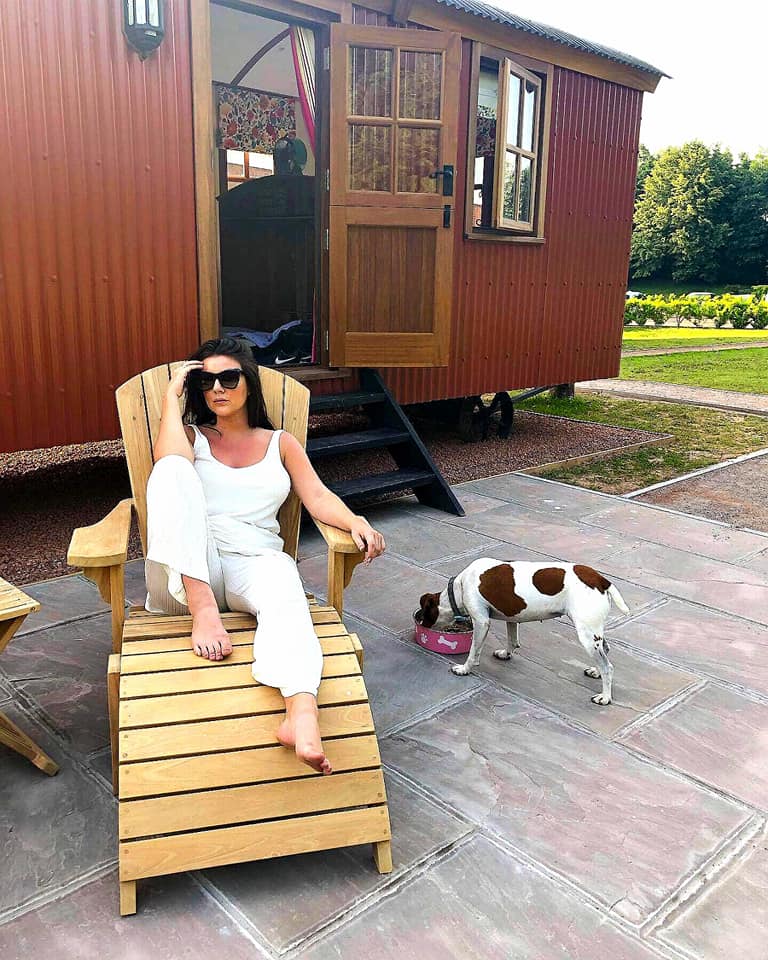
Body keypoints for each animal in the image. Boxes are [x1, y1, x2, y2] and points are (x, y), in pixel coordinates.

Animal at [416, 564, 628, 704]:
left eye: (424, 611)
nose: (417, 617)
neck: (459, 587)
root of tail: (601, 580)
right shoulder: (512, 617)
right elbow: (512, 640)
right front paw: (506, 654)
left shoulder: (482, 622)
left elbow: (473, 651)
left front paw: (465, 669)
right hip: (594, 632)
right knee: (606, 650)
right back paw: (595, 672)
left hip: (586, 634)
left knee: (608, 667)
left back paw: (605, 697)